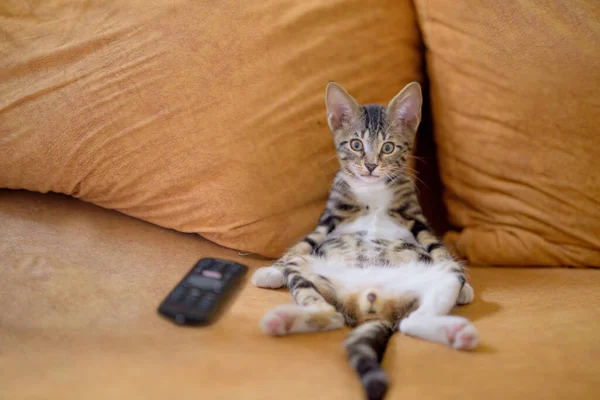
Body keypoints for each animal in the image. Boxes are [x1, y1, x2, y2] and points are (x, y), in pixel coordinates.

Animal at [251, 81, 476, 400]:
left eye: (388, 147)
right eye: (356, 144)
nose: (370, 166)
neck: (372, 190)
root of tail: (371, 304)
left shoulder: (414, 215)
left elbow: (435, 244)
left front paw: (466, 287)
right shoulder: (331, 215)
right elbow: (304, 241)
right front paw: (271, 270)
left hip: (439, 278)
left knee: (411, 319)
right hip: (311, 274)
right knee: (329, 313)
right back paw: (282, 319)